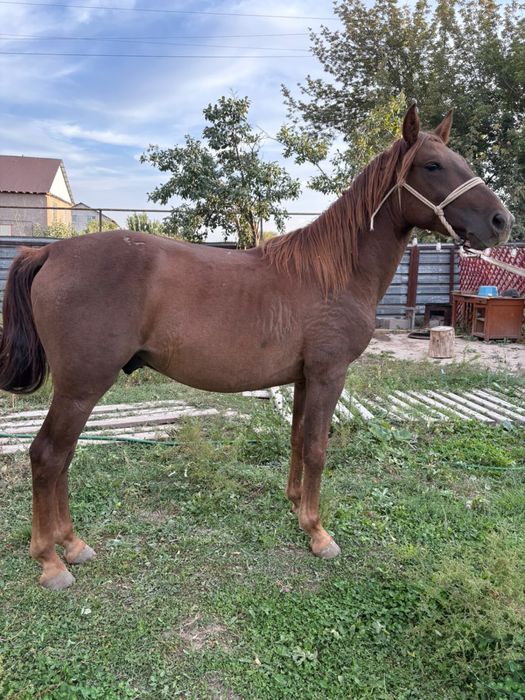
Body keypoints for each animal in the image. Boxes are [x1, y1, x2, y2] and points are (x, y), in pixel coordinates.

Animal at [0, 106, 513, 590]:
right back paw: (51, 561)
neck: (333, 272)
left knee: (63, 458)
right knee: (48, 456)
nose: (501, 221)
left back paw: (73, 544)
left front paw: (297, 508)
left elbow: (298, 440)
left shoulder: (305, 378)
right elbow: (318, 448)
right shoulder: (329, 375)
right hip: (82, 385)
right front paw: (318, 533)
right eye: (433, 165)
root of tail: (50, 251)